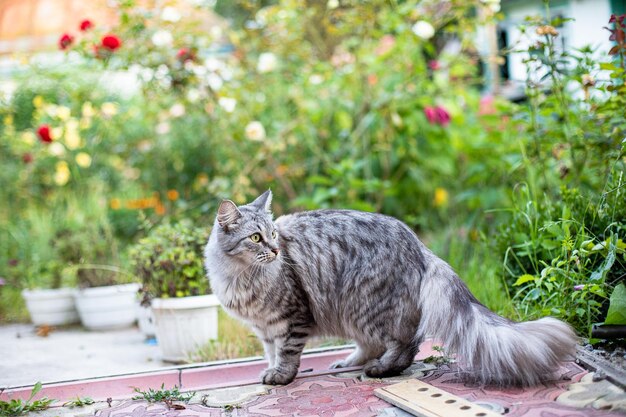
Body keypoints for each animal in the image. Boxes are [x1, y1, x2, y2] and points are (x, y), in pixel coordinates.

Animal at [204, 190, 576, 386]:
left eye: (273, 234)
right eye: (256, 237)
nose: (277, 250)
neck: (240, 276)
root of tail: (419, 246)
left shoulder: (291, 317)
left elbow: (288, 352)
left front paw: (281, 375)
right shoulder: (265, 327)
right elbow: (271, 351)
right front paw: (270, 369)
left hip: (365, 305)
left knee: (406, 345)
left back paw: (381, 369)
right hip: (355, 312)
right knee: (373, 344)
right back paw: (349, 362)